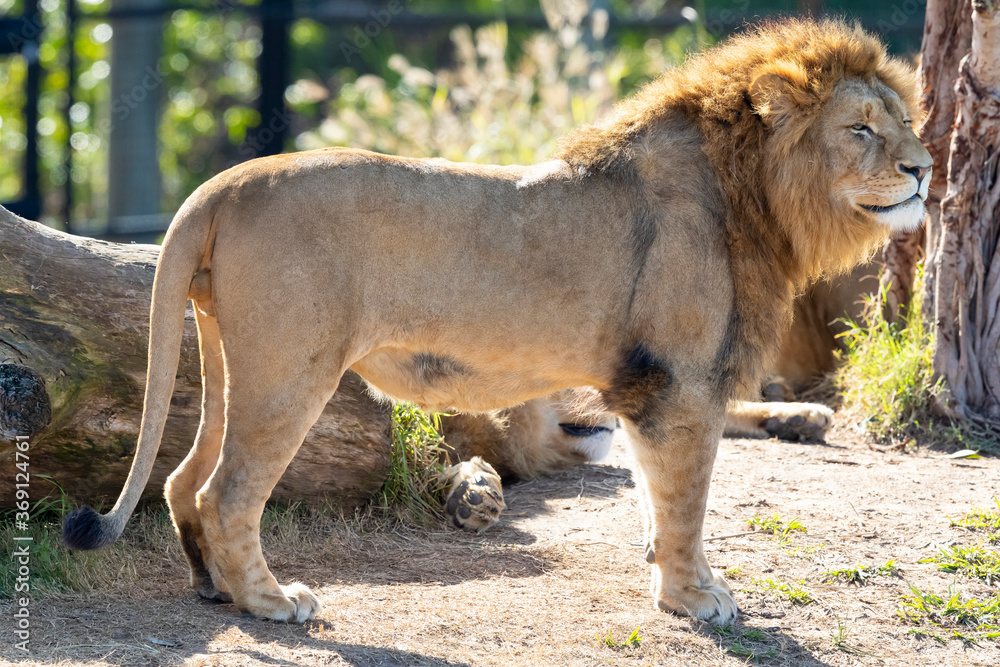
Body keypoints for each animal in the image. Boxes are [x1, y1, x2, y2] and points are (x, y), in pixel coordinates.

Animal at [63, 19, 931, 625]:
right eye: (860, 127)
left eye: (907, 121)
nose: (925, 168)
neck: (754, 194)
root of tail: (222, 183)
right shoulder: (678, 379)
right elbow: (687, 496)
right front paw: (694, 597)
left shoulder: (644, 386)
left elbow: (656, 493)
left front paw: (675, 579)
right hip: (288, 369)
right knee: (226, 491)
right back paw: (272, 603)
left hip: (229, 355)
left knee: (183, 476)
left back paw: (211, 588)